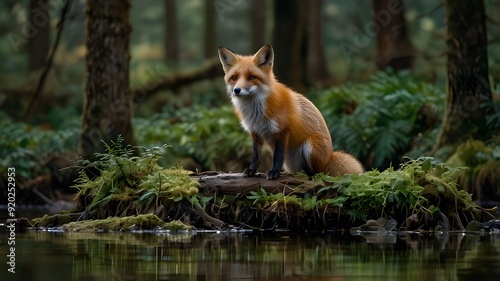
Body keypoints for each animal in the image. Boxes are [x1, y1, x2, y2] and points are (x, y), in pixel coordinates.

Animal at [217, 44, 362, 178]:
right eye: (234, 78)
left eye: (252, 77)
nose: (237, 90)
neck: (256, 111)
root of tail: (329, 158)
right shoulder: (255, 132)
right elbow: (255, 155)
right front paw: (252, 170)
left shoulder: (282, 130)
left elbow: (277, 155)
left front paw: (274, 172)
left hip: (311, 144)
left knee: (318, 173)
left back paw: (308, 174)